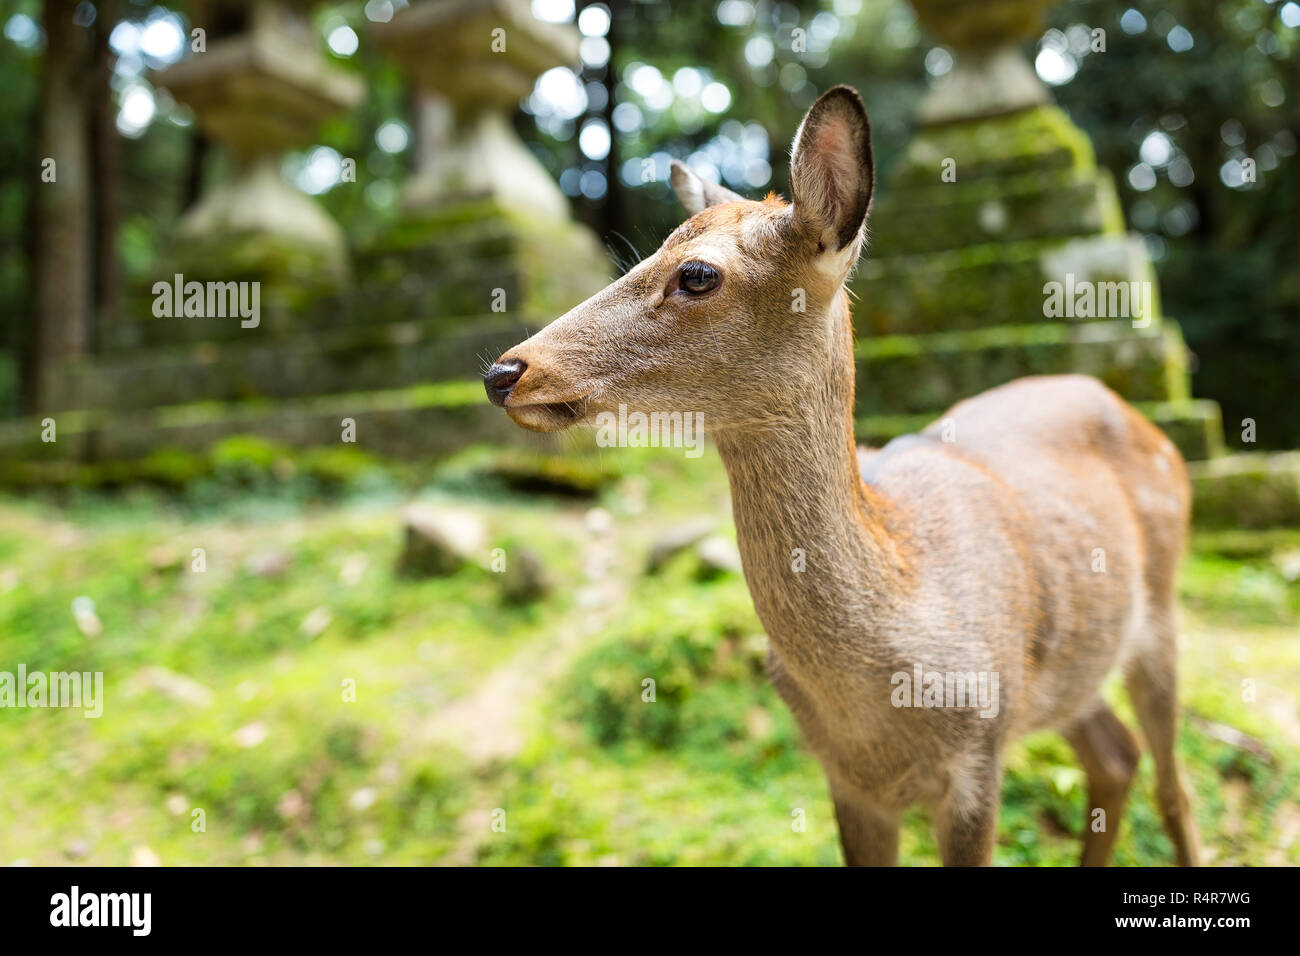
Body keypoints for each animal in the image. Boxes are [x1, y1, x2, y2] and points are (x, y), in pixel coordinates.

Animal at [483, 87, 1201, 868]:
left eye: (697, 274)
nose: (505, 371)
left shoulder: (980, 755)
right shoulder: (846, 780)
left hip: (1161, 609)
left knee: (1172, 782)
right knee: (1116, 757)